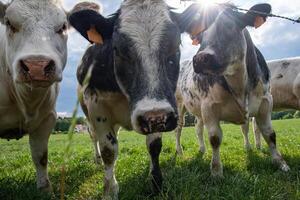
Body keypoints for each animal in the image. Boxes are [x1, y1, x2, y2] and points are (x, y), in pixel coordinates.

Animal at [0, 0, 77, 191]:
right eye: (9, 24)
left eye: (63, 27)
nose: (36, 66)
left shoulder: (47, 118)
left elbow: (40, 156)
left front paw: (45, 190)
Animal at [67, 0, 205, 198]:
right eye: (117, 49)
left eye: (176, 45)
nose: (155, 116)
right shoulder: (97, 108)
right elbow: (109, 151)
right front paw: (109, 191)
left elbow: (154, 146)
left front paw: (156, 184)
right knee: (95, 138)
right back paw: (98, 159)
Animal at [175, 3, 290, 177]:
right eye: (200, 37)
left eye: (229, 26)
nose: (200, 59)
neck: (239, 84)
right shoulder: (209, 107)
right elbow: (215, 138)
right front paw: (216, 171)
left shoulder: (266, 102)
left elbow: (270, 134)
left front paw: (281, 163)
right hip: (179, 105)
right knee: (178, 129)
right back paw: (180, 152)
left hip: (198, 111)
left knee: (198, 128)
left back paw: (202, 149)